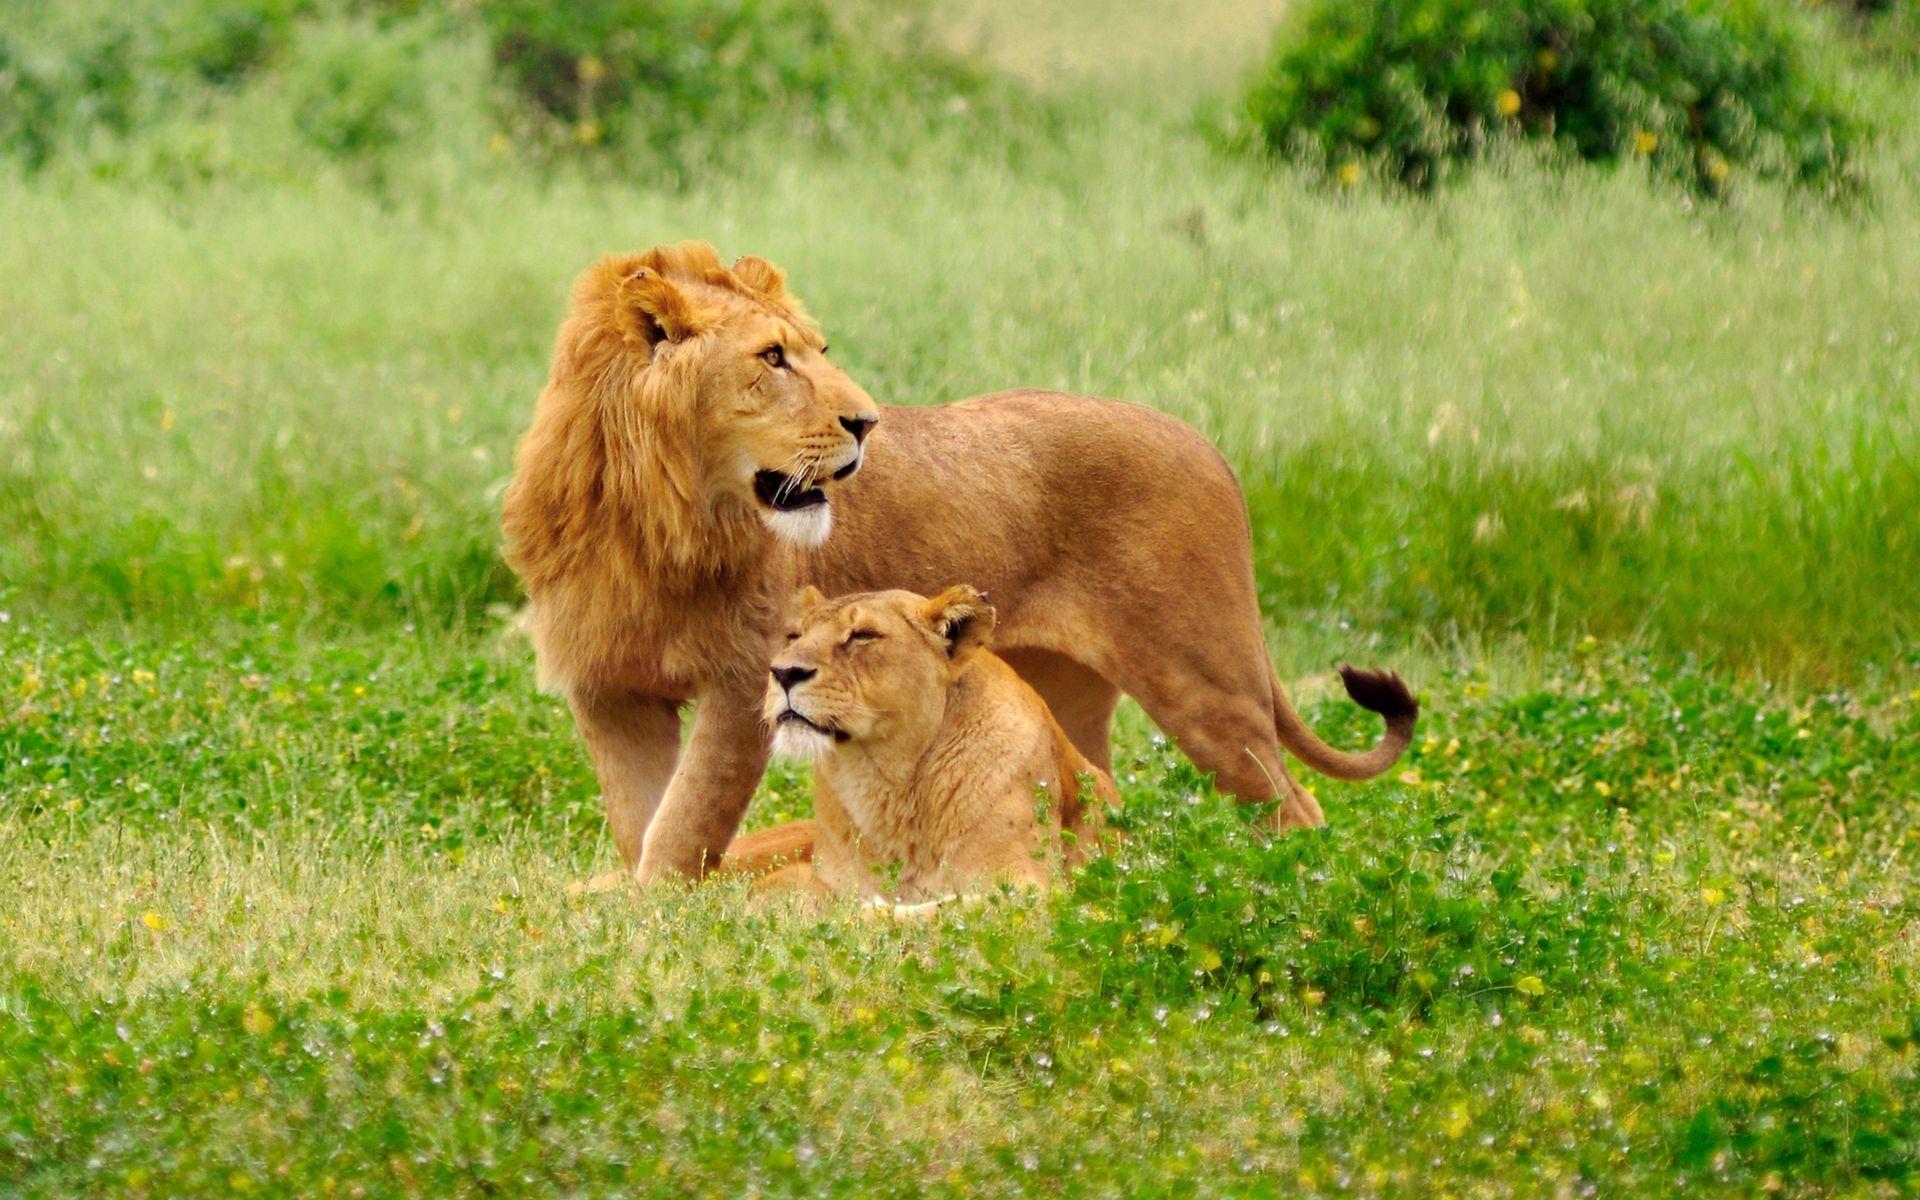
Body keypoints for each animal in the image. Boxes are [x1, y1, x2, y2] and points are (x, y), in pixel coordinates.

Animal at [501, 242, 1418, 885]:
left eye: (818, 348)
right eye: (772, 358)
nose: (867, 422)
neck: (647, 514)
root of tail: (1208, 446)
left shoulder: (741, 682)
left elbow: (685, 825)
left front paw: (659, 920)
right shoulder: (609, 690)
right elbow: (642, 822)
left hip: (1204, 681)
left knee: (1295, 804)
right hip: (1066, 691)